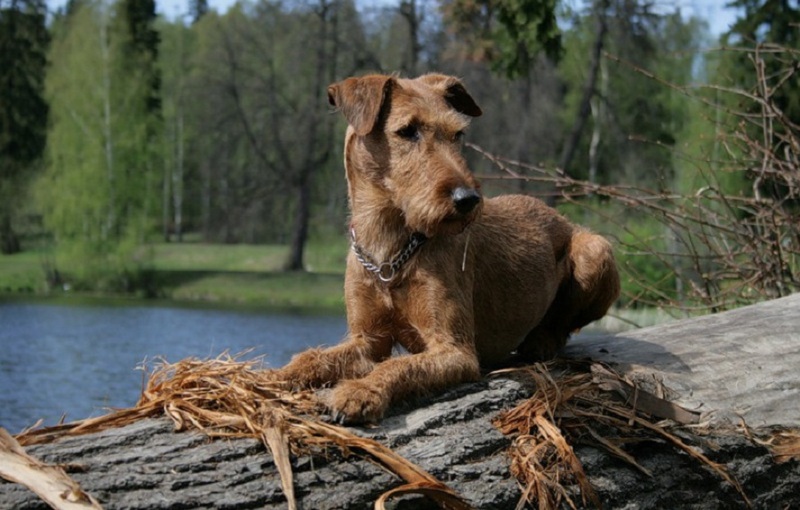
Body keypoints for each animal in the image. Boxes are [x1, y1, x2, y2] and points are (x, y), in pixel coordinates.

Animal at [276, 71, 620, 422]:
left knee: (566, 325)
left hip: (596, 251)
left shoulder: (455, 350)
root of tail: (563, 219)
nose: (468, 199)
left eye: (459, 134)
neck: (390, 246)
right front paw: (272, 377)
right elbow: (312, 358)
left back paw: (542, 341)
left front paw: (360, 391)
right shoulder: (368, 340)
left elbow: (399, 366)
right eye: (407, 130)